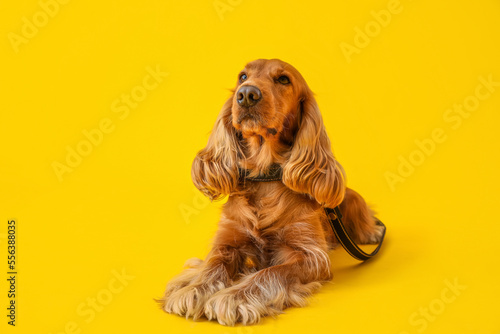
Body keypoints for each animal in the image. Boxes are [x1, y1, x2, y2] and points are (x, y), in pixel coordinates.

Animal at [160, 58, 382, 324]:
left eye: (283, 79)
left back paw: (374, 231)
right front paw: (192, 289)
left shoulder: (311, 255)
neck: (264, 175)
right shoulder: (227, 240)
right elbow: (213, 264)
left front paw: (234, 297)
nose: (247, 95)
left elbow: (270, 272)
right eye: (242, 77)